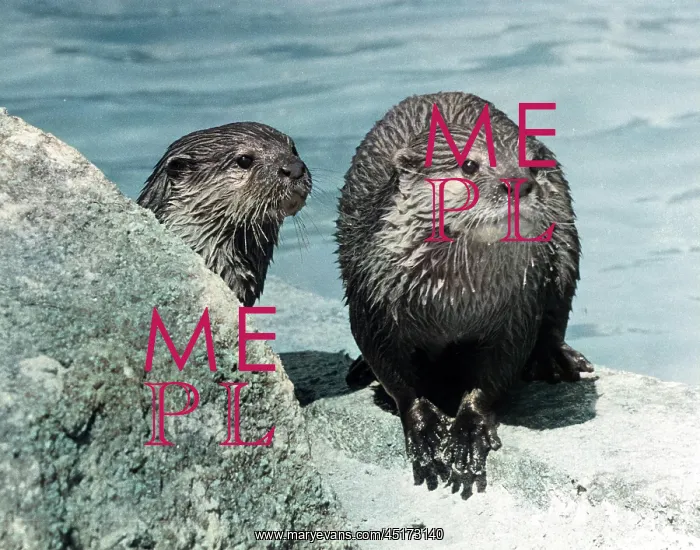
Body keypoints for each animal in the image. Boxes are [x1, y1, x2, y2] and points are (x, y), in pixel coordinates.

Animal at [336, 92, 593, 498]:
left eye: (533, 167)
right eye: (470, 164)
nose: (518, 184)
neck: (451, 303)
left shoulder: (519, 307)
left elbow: (495, 372)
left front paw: (468, 432)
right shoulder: (371, 299)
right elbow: (394, 373)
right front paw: (424, 431)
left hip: (565, 245)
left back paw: (554, 359)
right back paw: (359, 370)